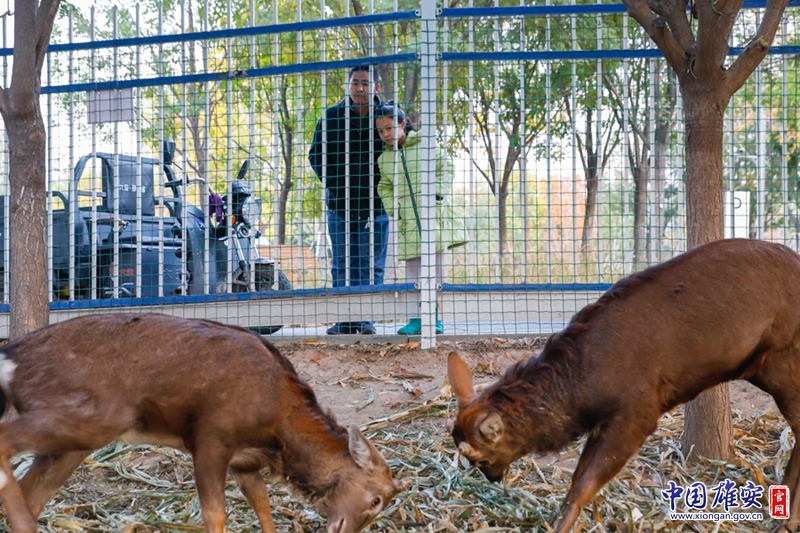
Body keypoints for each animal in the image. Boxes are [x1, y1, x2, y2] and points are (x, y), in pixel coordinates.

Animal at [0, 314, 406, 528]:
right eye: (376, 500)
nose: (343, 528)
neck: (276, 428)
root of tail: (9, 359)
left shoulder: (245, 461)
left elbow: (262, 504)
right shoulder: (211, 437)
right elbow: (215, 513)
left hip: (75, 440)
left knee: (32, 492)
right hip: (94, 416)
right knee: (7, 445)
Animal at [446, 239, 800, 528]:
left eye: (480, 458)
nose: (493, 478)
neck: (582, 392)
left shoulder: (638, 412)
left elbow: (584, 486)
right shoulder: (603, 420)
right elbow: (577, 478)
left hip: (783, 363)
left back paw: (786, 521)